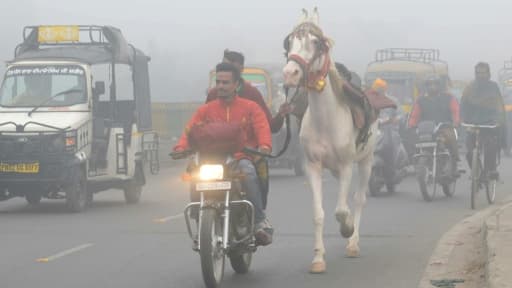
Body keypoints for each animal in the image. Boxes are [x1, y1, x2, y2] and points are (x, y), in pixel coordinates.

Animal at [282, 9, 378, 274]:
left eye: (316, 43)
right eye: (289, 42)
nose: (290, 73)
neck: (325, 120)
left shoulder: (346, 165)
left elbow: (342, 210)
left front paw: (347, 228)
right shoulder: (313, 166)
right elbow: (319, 214)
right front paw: (318, 258)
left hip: (366, 160)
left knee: (358, 199)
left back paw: (353, 242)